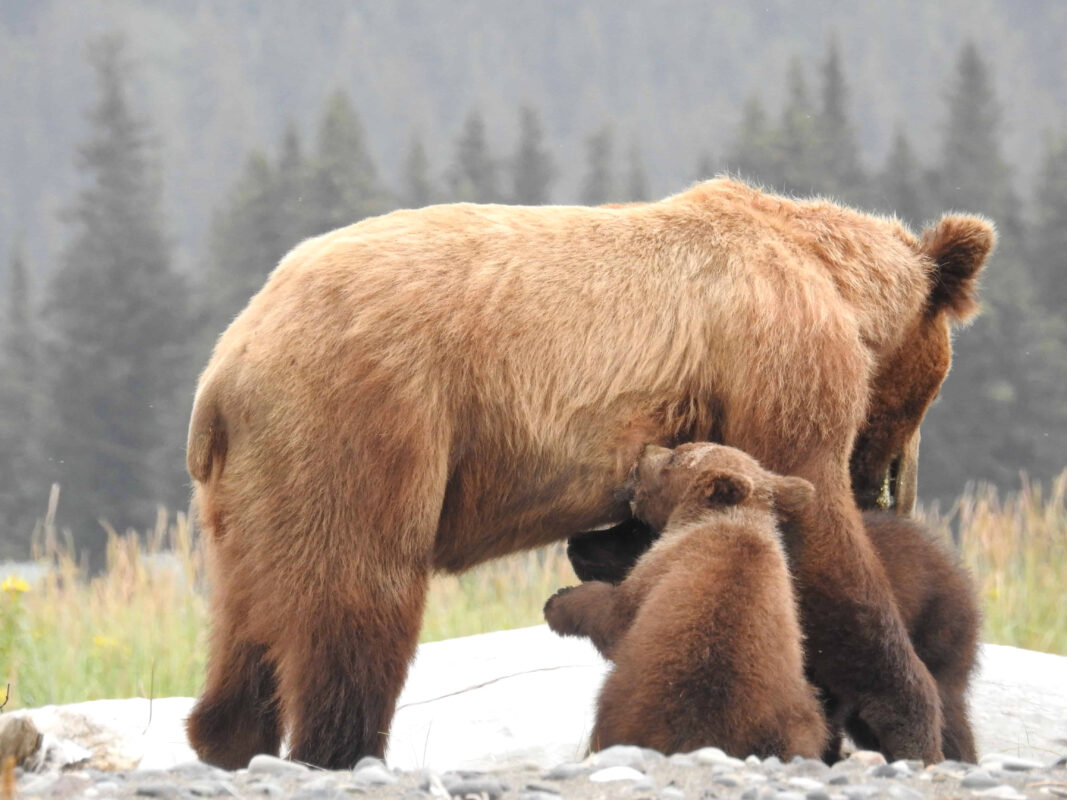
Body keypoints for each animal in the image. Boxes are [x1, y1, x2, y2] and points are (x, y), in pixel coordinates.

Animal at [544, 442, 830, 758]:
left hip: (634, 699)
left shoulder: (660, 567)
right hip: (794, 725)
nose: (646, 449)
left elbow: (613, 614)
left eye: (675, 456)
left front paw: (557, 603)